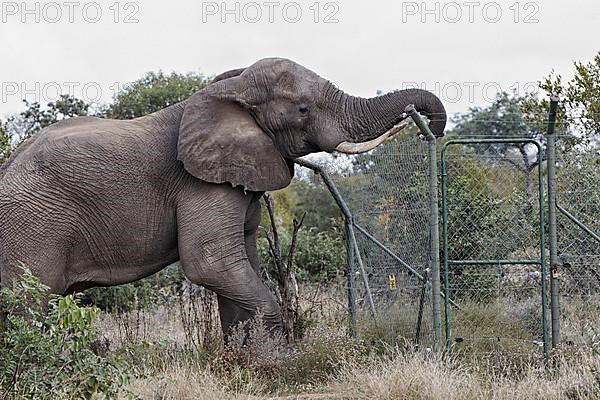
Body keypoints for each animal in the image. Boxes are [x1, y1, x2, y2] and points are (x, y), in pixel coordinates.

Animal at [0, 57, 446, 336]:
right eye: (303, 109)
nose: (425, 122)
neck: (232, 87)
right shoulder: (200, 183)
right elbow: (211, 264)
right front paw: (279, 366)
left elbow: (238, 266)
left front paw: (245, 363)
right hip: (32, 227)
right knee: (28, 305)